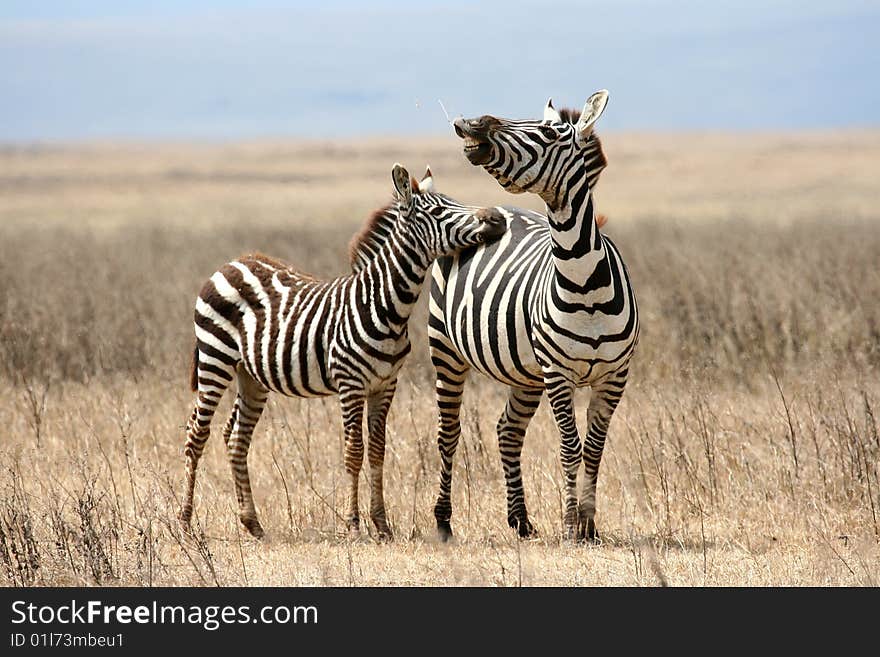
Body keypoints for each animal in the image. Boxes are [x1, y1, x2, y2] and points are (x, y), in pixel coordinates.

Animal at [179, 164, 506, 540]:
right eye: (439, 211)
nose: (497, 218)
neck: (386, 306)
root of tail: (231, 263)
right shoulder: (350, 384)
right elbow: (354, 451)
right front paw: (353, 523)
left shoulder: (385, 385)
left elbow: (378, 451)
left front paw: (382, 524)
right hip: (214, 359)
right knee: (196, 435)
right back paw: (185, 522)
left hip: (251, 376)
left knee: (237, 438)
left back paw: (253, 524)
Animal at [434, 92, 640, 544]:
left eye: (547, 132)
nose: (471, 122)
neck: (584, 282)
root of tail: (497, 208)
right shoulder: (558, 374)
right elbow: (570, 447)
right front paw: (570, 526)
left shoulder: (614, 377)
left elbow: (594, 448)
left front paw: (589, 525)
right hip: (445, 350)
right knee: (448, 433)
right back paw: (442, 521)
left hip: (526, 374)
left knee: (508, 431)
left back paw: (521, 520)